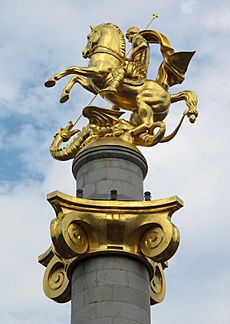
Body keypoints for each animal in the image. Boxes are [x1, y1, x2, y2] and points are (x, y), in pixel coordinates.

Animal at [45, 22, 198, 139]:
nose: (84, 53)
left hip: (143, 102)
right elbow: (75, 77)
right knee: (146, 128)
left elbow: (72, 69)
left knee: (148, 124)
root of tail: (170, 96)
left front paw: (51, 80)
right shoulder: (94, 85)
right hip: (140, 114)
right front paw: (64, 95)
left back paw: (124, 131)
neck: (107, 57)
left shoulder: (97, 72)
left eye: (88, 36)